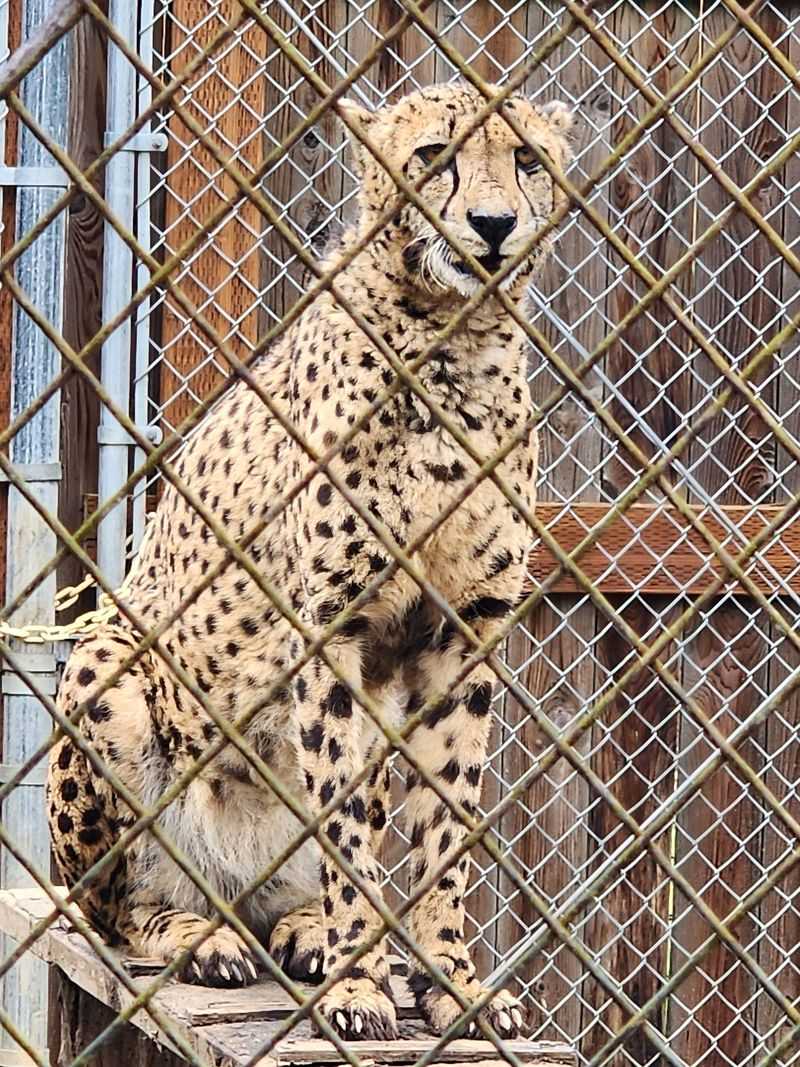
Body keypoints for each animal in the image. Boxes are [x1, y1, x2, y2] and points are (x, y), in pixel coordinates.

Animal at [47, 82, 573, 1042]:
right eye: (435, 154)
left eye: (525, 157)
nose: (493, 224)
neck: (458, 343)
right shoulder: (332, 630)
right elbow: (345, 831)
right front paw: (360, 984)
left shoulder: (464, 633)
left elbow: (448, 823)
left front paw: (452, 981)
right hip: (106, 666)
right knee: (110, 910)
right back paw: (201, 934)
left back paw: (298, 929)